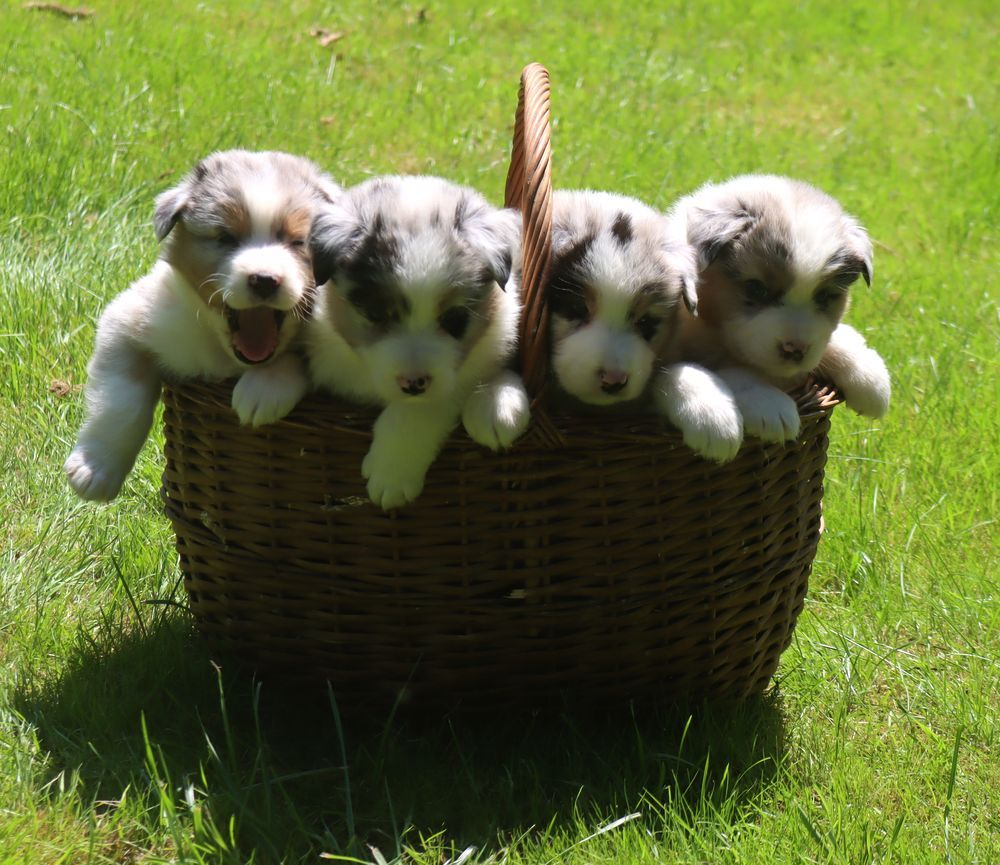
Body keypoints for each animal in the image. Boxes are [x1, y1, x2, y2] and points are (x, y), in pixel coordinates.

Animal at [66, 148, 342, 500]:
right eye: (226, 237)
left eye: (298, 242)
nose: (264, 280)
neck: (224, 354)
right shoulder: (132, 319)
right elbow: (122, 403)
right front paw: (95, 471)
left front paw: (263, 390)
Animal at [672, 173, 892, 442]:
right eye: (757, 289)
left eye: (824, 296)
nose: (795, 350)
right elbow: (732, 371)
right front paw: (770, 406)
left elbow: (836, 340)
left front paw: (869, 376)